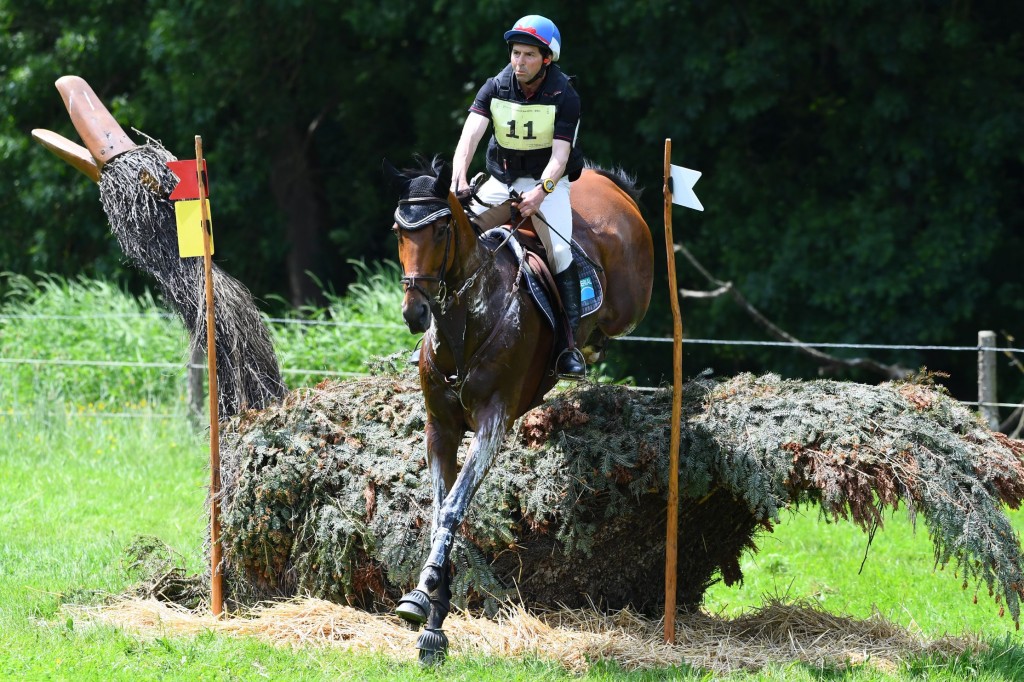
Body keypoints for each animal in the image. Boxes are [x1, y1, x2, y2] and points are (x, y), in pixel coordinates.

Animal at [380, 155, 651, 659]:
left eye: (442, 230)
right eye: (398, 231)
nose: (414, 313)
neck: (464, 324)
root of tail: (604, 182)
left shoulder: (493, 423)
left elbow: (454, 506)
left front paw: (426, 593)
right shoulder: (440, 428)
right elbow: (441, 508)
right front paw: (431, 613)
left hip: (628, 292)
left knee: (612, 308)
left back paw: (585, 347)